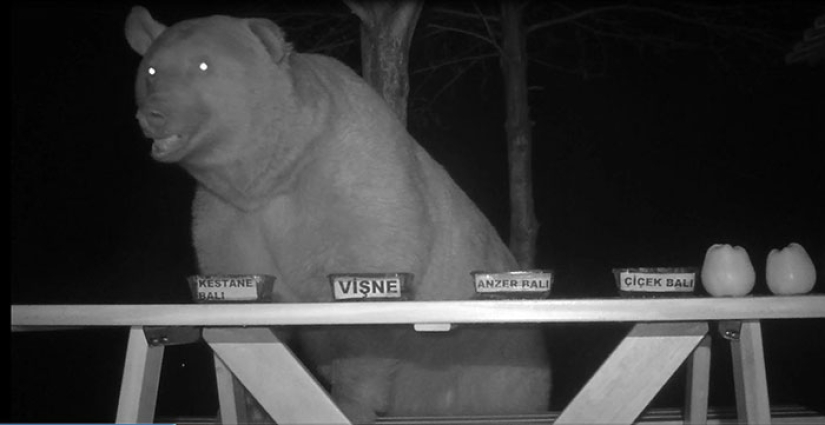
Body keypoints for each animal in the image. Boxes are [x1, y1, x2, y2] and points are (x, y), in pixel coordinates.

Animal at [125, 6, 550, 423]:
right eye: (151, 70)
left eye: (202, 65)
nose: (153, 114)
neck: (277, 167)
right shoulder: (229, 212)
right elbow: (247, 297)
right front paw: (252, 403)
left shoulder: (347, 174)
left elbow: (365, 291)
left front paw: (351, 401)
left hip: (489, 365)